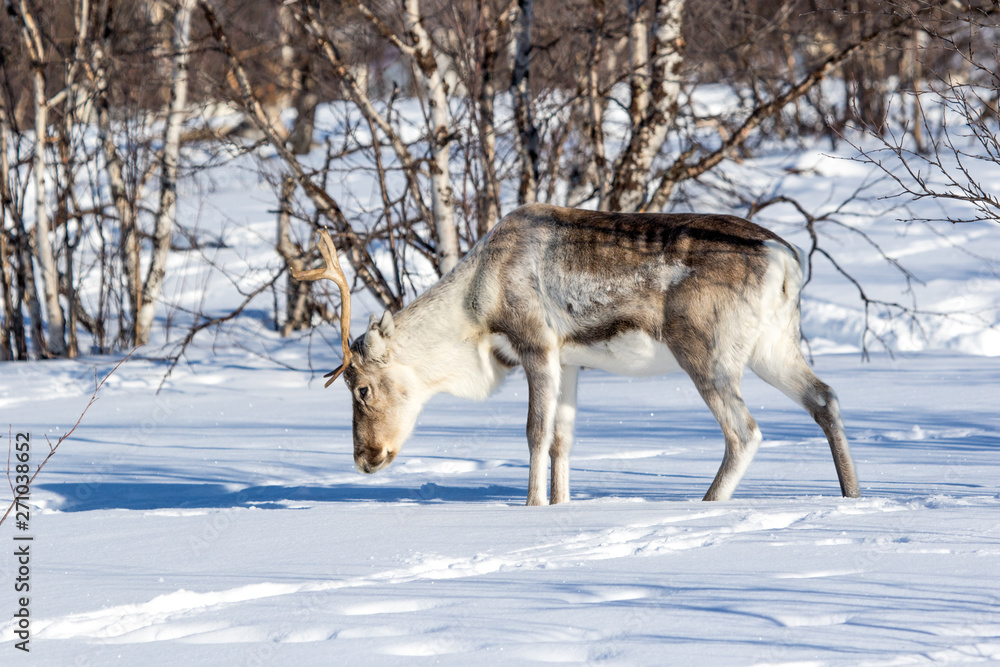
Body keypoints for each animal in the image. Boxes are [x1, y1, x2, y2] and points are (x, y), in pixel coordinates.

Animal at [293, 204, 860, 506]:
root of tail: (786, 260)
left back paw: (707, 504)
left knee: (745, 430)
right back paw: (852, 494)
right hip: (773, 346)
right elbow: (563, 440)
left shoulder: (537, 347)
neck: (476, 308)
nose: (366, 459)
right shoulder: (570, 362)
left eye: (362, 389)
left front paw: (530, 504)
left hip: (706, 351)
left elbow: (535, 434)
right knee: (825, 397)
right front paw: (561, 505)